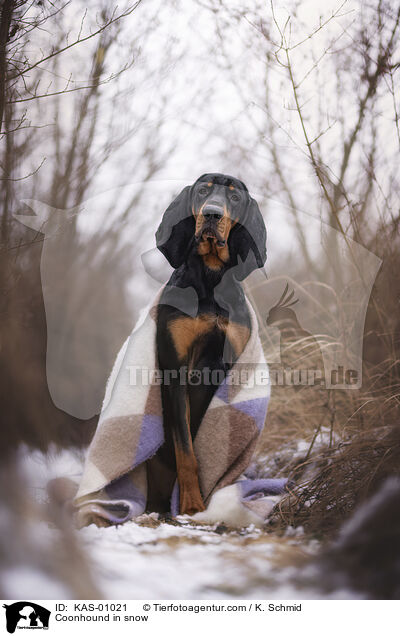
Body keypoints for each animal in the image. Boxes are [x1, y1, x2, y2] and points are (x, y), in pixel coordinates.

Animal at [152, 173, 268, 516]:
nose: (212, 214)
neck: (211, 280)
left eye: (235, 198)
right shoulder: (176, 371)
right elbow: (186, 450)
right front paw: (192, 504)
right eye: (203, 191)